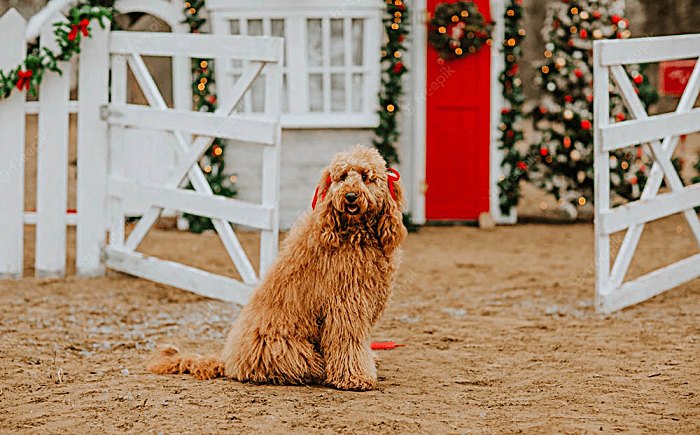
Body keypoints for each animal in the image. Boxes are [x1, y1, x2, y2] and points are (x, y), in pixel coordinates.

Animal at [150, 146, 408, 392]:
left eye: (365, 177)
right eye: (343, 177)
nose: (351, 196)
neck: (354, 233)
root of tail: (229, 360)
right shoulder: (345, 305)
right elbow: (348, 342)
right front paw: (355, 377)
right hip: (285, 348)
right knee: (303, 366)